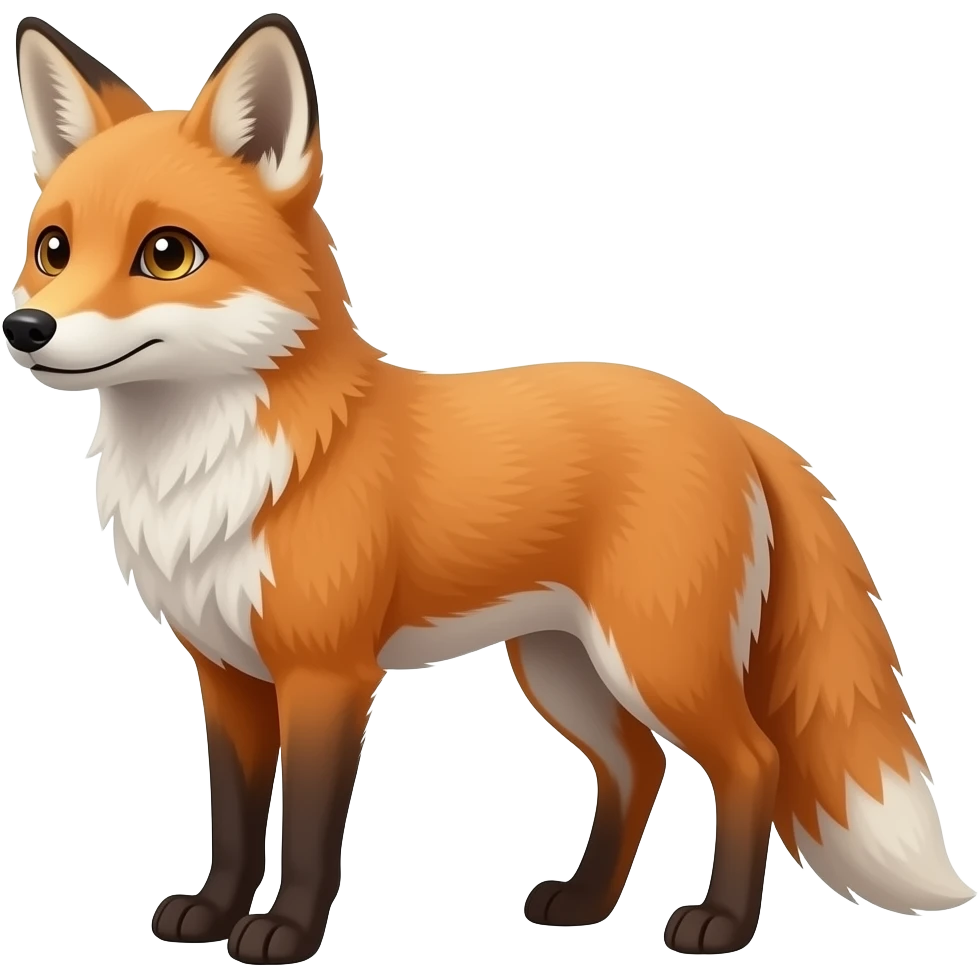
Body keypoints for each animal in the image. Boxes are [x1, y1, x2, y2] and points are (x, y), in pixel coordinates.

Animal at [5, 11, 974, 966]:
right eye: (53, 248)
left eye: (167, 254)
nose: (26, 326)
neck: (208, 470)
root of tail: (728, 419)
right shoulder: (226, 672)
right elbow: (234, 820)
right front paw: (211, 911)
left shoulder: (328, 672)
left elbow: (311, 825)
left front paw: (285, 932)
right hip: (562, 665)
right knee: (638, 767)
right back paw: (583, 902)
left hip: (656, 657)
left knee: (751, 762)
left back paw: (720, 924)